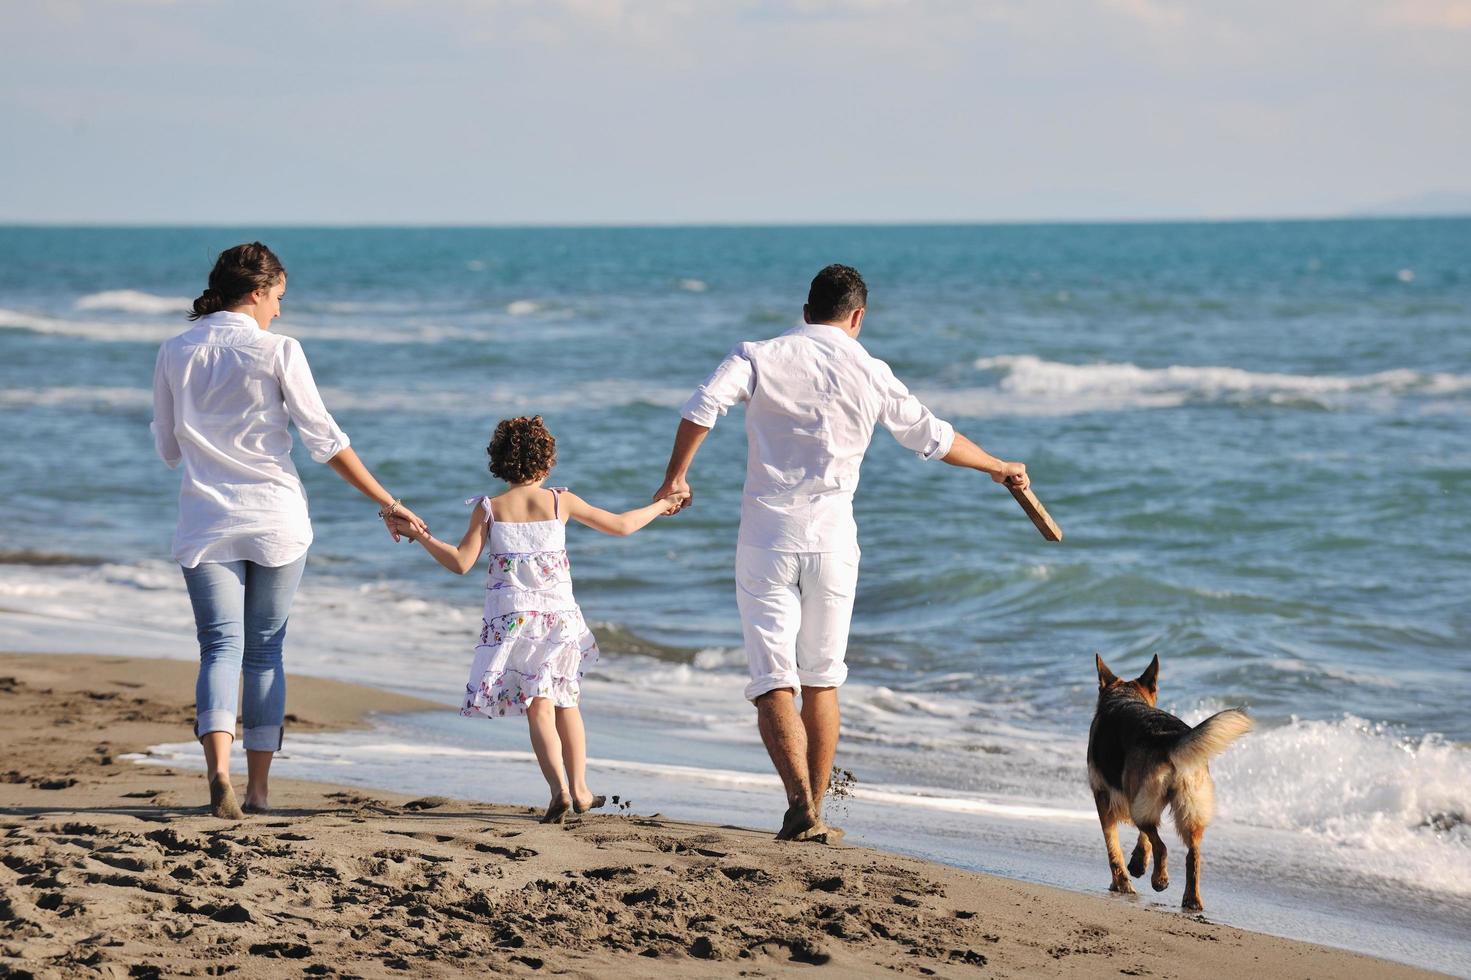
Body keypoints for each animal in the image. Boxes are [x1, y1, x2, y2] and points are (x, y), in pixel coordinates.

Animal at [1082, 653, 1253, 912]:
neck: (1124, 696)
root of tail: (1172, 737)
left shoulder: (1104, 798)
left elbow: (1113, 848)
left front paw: (1121, 883)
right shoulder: (1140, 801)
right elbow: (1143, 840)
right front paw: (1137, 863)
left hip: (1141, 806)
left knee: (1161, 845)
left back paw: (1159, 880)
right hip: (1186, 810)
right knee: (1192, 854)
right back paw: (1191, 899)